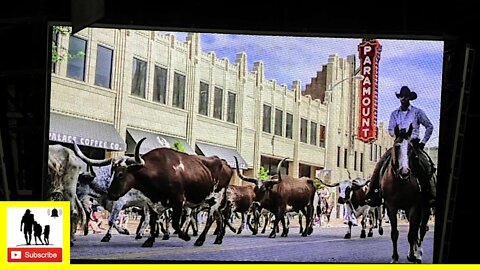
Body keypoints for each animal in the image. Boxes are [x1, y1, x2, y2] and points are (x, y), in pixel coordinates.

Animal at [382, 125, 432, 264]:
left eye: (410, 147)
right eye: (397, 146)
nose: (404, 171)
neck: (400, 182)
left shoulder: (413, 207)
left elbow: (412, 233)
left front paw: (412, 255)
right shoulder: (391, 207)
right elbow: (394, 233)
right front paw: (394, 257)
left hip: (425, 208)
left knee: (421, 229)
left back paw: (418, 254)